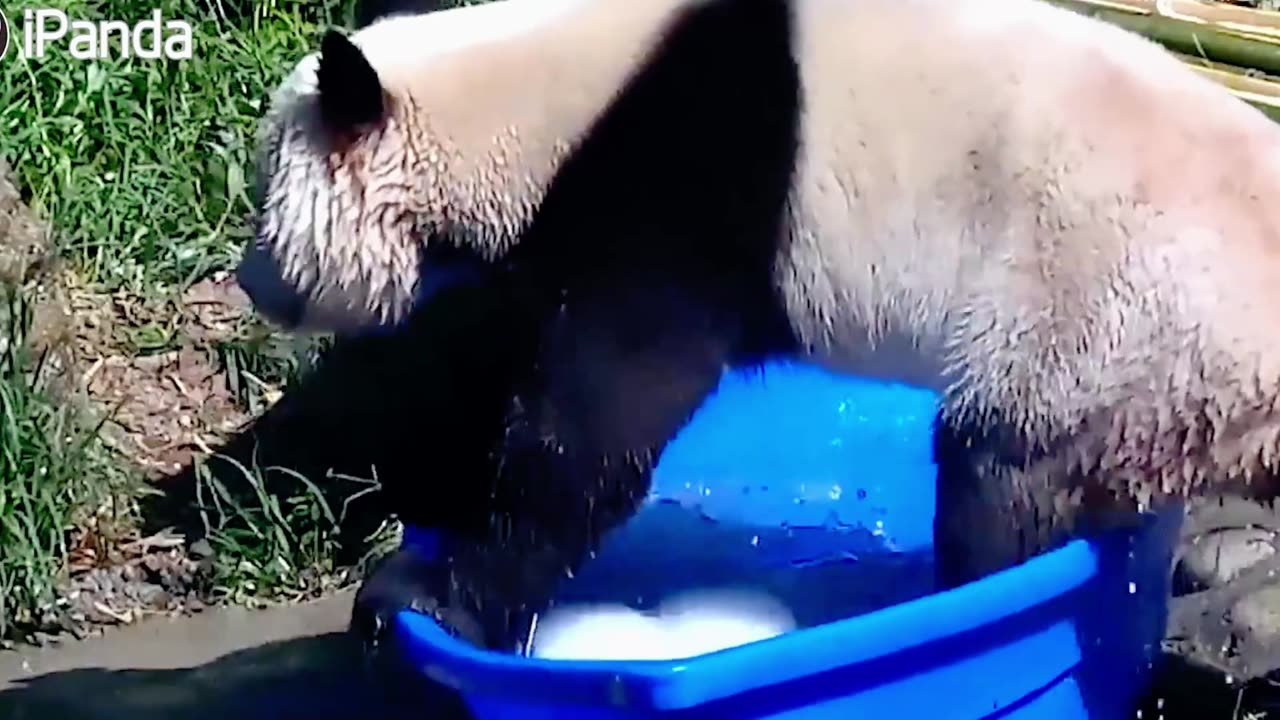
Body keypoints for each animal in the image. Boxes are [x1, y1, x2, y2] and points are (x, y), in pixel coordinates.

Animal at [232, 0, 1280, 666]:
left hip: (1113, 326)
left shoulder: (676, 181)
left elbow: (597, 427)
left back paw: (964, 595)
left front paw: (423, 596)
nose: (250, 278)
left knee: (1003, 477)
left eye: (266, 190)